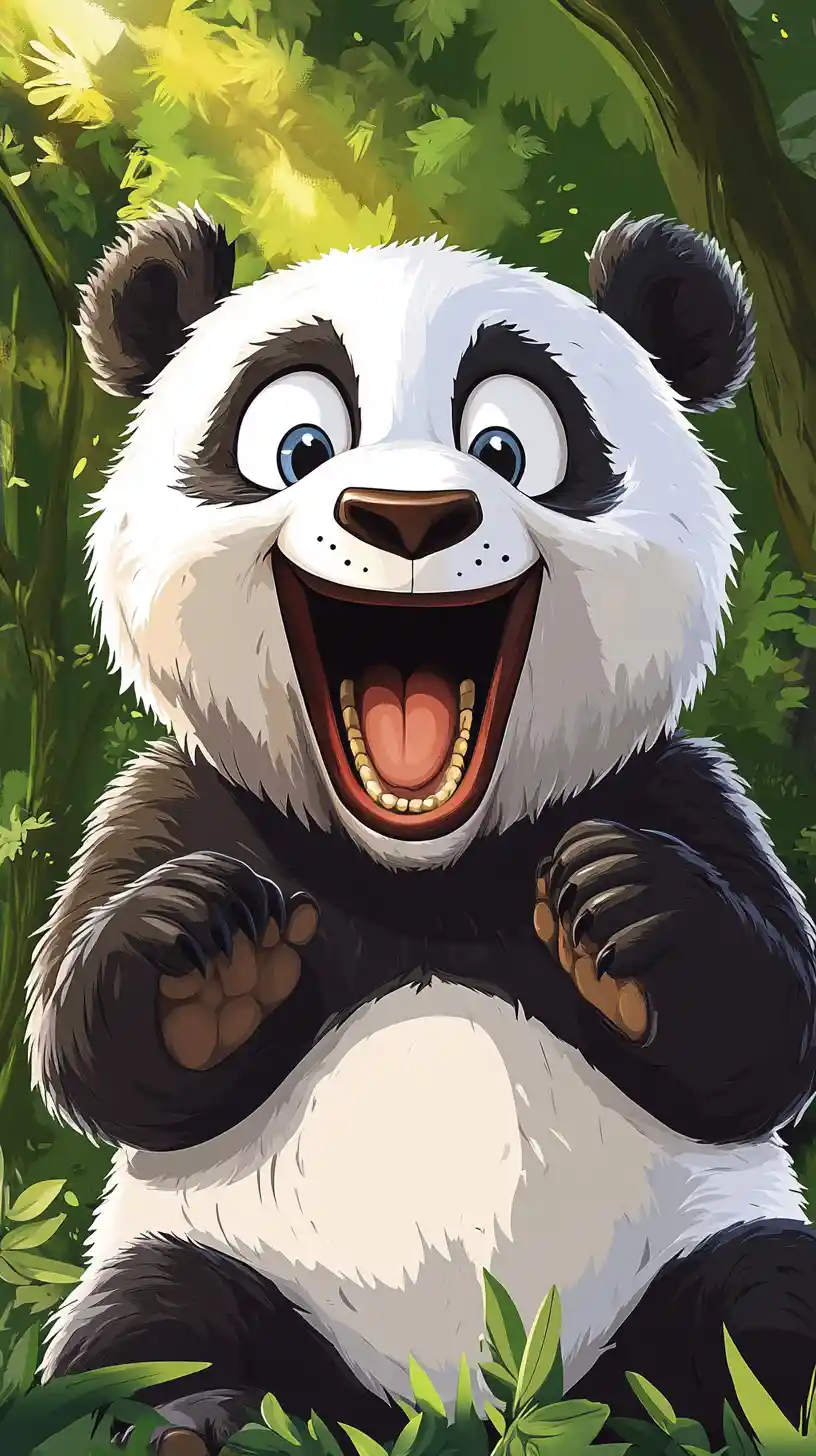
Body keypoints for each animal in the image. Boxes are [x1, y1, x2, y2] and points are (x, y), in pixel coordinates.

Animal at [25, 203, 816, 1455]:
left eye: (510, 447)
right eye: (299, 444)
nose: (407, 517)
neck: (420, 868)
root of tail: (469, 1409)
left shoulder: (675, 786)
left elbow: (767, 1036)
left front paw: (618, 910)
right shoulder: (180, 797)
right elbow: (91, 1055)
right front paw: (210, 960)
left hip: (688, 1257)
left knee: (766, 1295)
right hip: (213, 1255)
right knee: (141, 1327)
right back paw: (196, 1419)